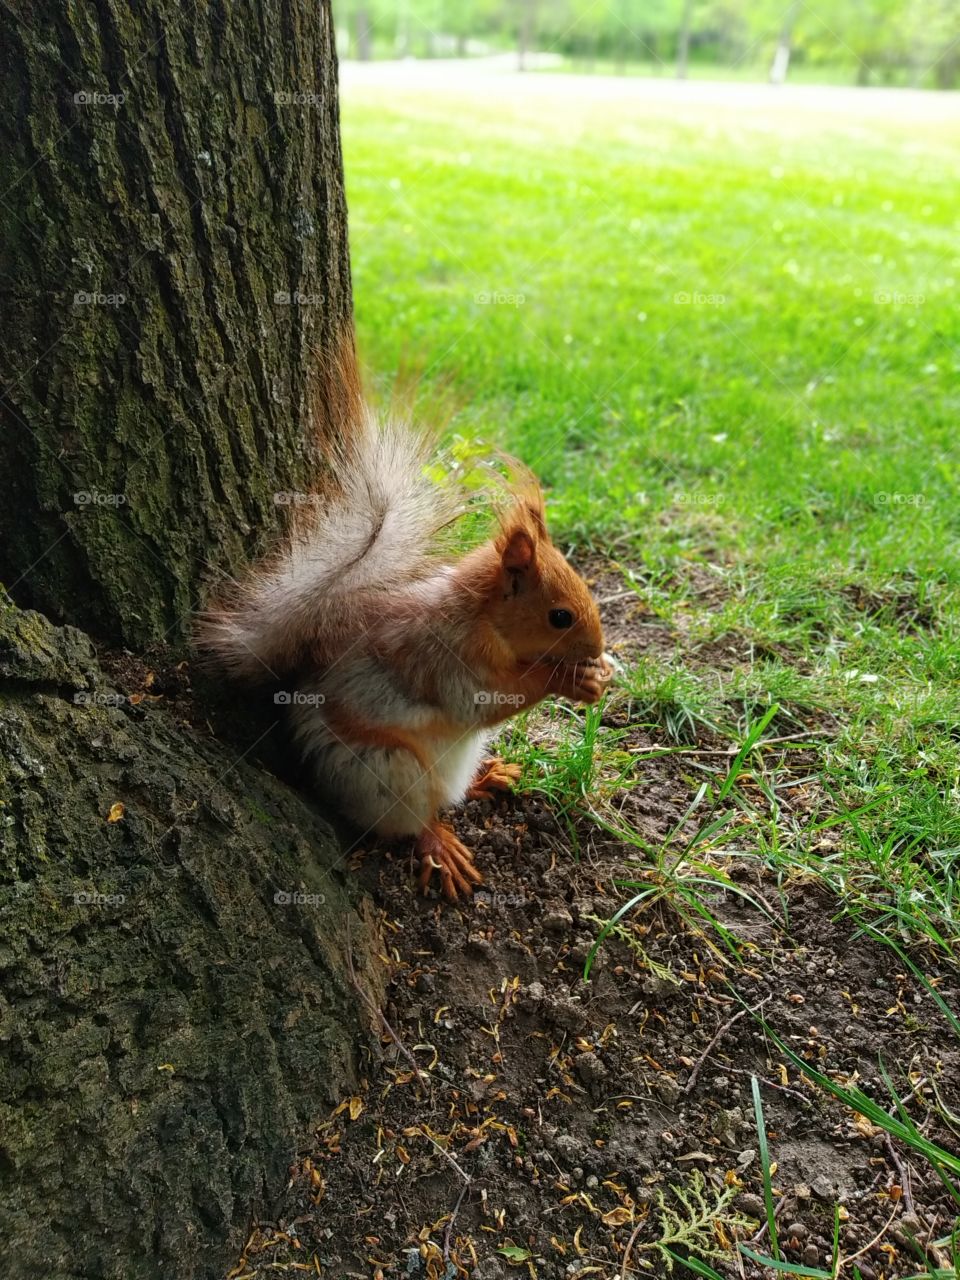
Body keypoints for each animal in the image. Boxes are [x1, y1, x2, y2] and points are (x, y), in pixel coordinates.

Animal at [197, 339, 612, 900]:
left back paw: (488, 777)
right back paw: (439, 844)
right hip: (386, 773)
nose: (597, 647)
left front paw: (600, 673)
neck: (481, 619)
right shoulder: (443, 654)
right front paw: (567, 680)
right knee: (414, 820)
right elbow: (483, 699)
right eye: (560, 617)